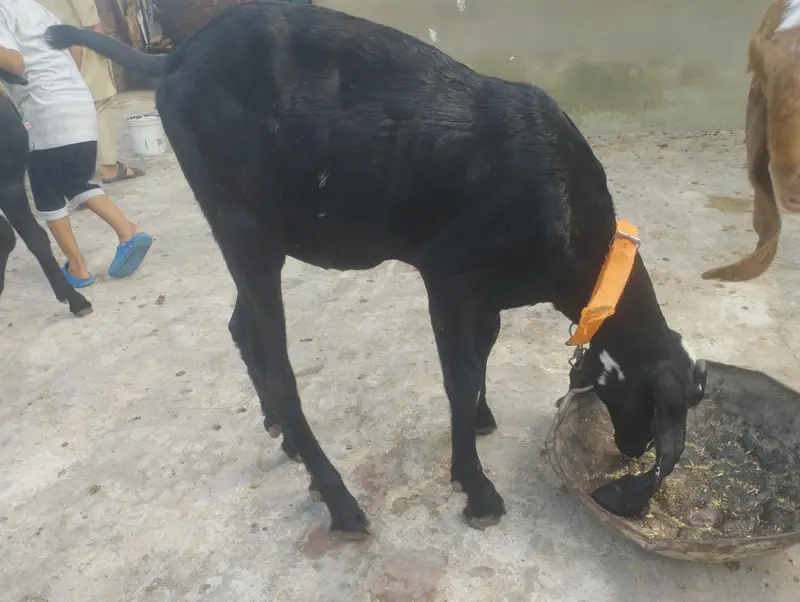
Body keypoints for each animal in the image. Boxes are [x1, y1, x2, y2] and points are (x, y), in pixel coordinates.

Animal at [45, 1, 707, 539]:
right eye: (656, 410)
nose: (630, 449)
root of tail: (178, 57)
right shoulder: (448, 276)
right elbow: (460, 375)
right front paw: (476, 487)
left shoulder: (486, 295)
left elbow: (481, 356)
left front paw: (482, 420)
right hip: (243, 228)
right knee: (276, 361)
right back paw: (338, 500)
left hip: (257, 240)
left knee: (241, 328)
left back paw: (282, 435)